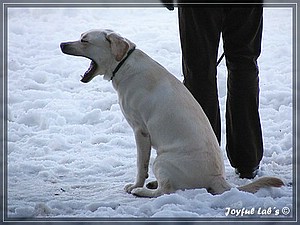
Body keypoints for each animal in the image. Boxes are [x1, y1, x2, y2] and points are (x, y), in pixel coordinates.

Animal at [59, 29, 282, 197]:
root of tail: (218, 179)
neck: (123, 63)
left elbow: (140, 165)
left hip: (161, 159)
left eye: (84, 40)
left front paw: (135, 184)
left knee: (166, 190)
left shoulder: (141, 131)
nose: (62, 44)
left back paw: (142, 190)